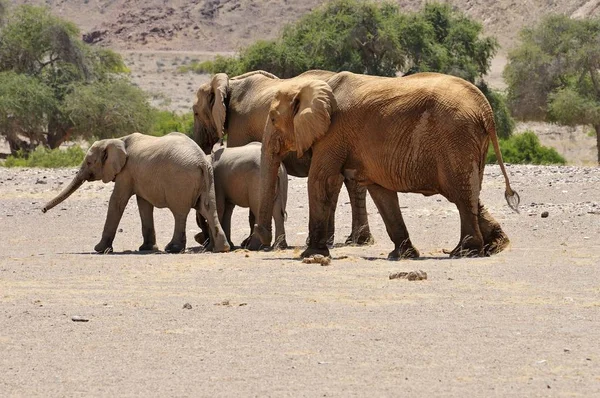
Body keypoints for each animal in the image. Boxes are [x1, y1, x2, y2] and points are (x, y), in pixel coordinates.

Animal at [41, 132, 230, 253]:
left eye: (88, 162)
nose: (42, 210)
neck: (117, 139)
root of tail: (202, 161)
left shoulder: (126, 172)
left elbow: (117, 201)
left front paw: (99, 249)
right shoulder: (138, 175)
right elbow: (143, 205)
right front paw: (146, 249)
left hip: (180, 181)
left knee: (179, 213)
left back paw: (173, 249)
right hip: (207, 180)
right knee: (208, 208)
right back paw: (222, 248)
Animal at [192, 70, 372, 247]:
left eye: (195, 112)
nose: (201, 239)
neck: (232, 82)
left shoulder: (239, 126)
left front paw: (248, 243)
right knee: (350, 182)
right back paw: (355, 240)